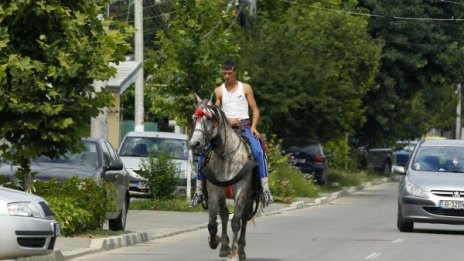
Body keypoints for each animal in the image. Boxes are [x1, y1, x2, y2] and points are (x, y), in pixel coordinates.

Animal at [188, 94, 260, 260]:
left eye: (209, 118)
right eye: (194, 118)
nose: (194, 144)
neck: (225, 155)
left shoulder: (241, 191)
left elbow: (236, 222)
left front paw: (233, 253)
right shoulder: (214, 190)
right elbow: (213, 223)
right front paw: (215, 241)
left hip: (249, 197)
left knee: (243, 218)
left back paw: (241, 250)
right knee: (225, 215)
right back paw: (224, 246)